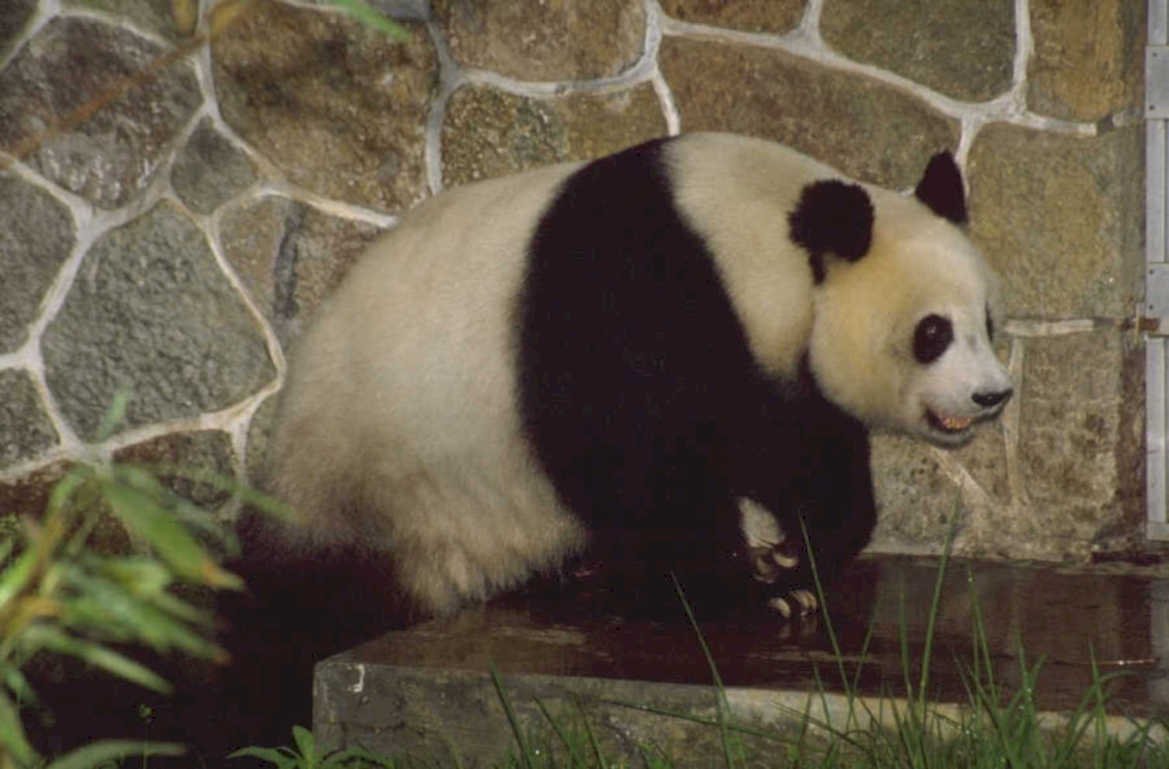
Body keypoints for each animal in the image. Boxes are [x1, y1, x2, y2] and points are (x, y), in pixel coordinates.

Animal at [257, 132, 1013, 624]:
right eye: (932, 332)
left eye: (988, 320)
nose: (992, 395)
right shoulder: (631, 295)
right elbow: (642, 463)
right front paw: (750, 591)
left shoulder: (761, 352)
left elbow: (787, 439)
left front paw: (793, 554)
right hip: (370, 480)